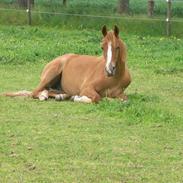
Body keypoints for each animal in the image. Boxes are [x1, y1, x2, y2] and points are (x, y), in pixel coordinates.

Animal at [2, 25, 132, 103]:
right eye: (102, 47)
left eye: (117, 47)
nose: (109, 70)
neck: (114, 79)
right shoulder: (86, 88)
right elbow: (97, 97)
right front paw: (77, 97)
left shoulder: (121, 94)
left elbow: (124, 100)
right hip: (52, 73)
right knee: (35, 92)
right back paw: (44, 96)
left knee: (48, 90)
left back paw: (60, 96)